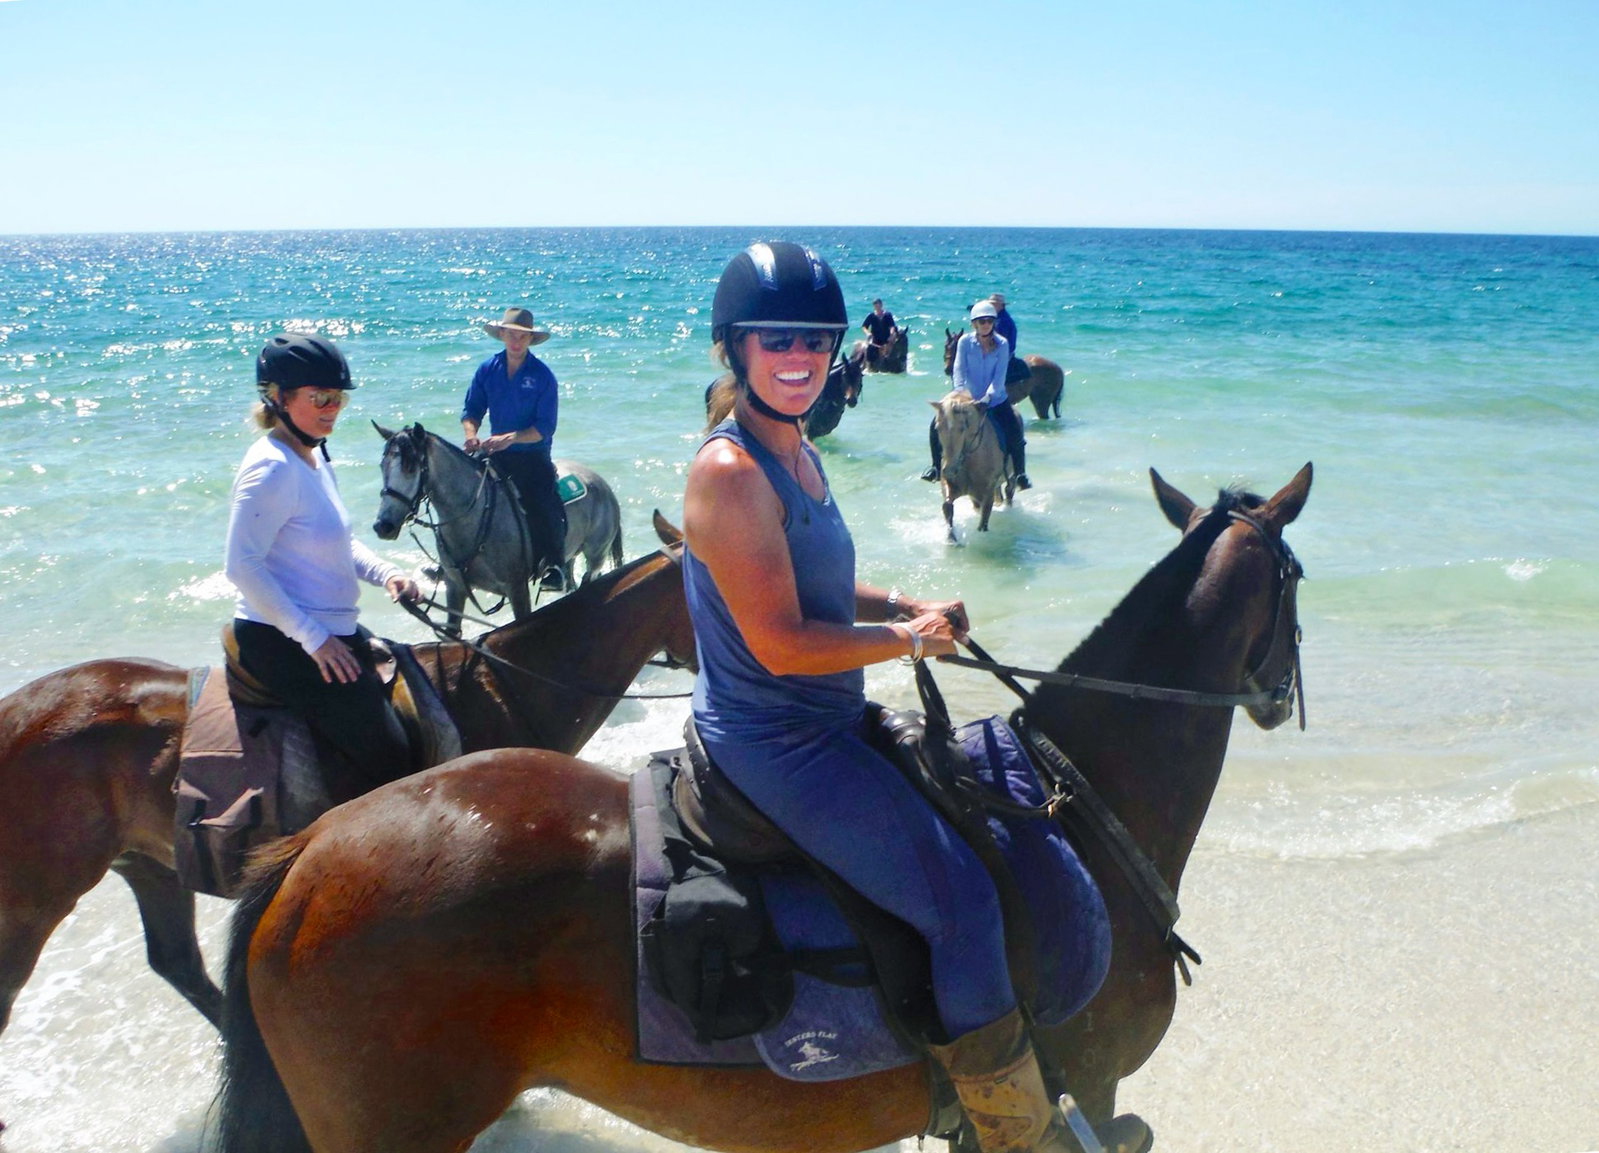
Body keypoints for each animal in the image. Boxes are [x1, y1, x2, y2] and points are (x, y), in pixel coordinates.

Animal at [373, 423, 623, 634]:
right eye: (383, 465)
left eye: (409, 467)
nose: (383, 526)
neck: (473, 518)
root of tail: (601, 483)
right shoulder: (455, 588)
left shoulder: (517, 589)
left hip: (596, 555)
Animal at [932, 389, 1014, 542]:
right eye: (937, 428)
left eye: (963, 428)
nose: (949, 470)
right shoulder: (951, 485)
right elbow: (947, 506)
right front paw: (952, 539)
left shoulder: (987, 492)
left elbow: (984, 519)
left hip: (1011, 477)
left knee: (1009, 491)